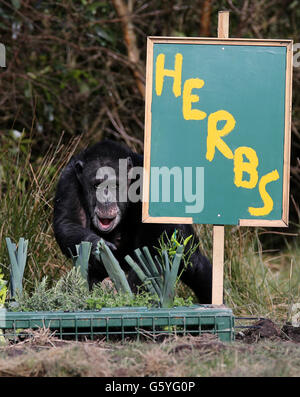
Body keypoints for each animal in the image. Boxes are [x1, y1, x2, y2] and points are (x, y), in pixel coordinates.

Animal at [52, 139, 212, 304]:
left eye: (115, 184)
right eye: (97, 185)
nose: (106, 200)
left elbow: (153, 236)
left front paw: (134, 290)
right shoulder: (68, 180)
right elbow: (68, 222)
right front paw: (98, 246)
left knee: (194, 264)